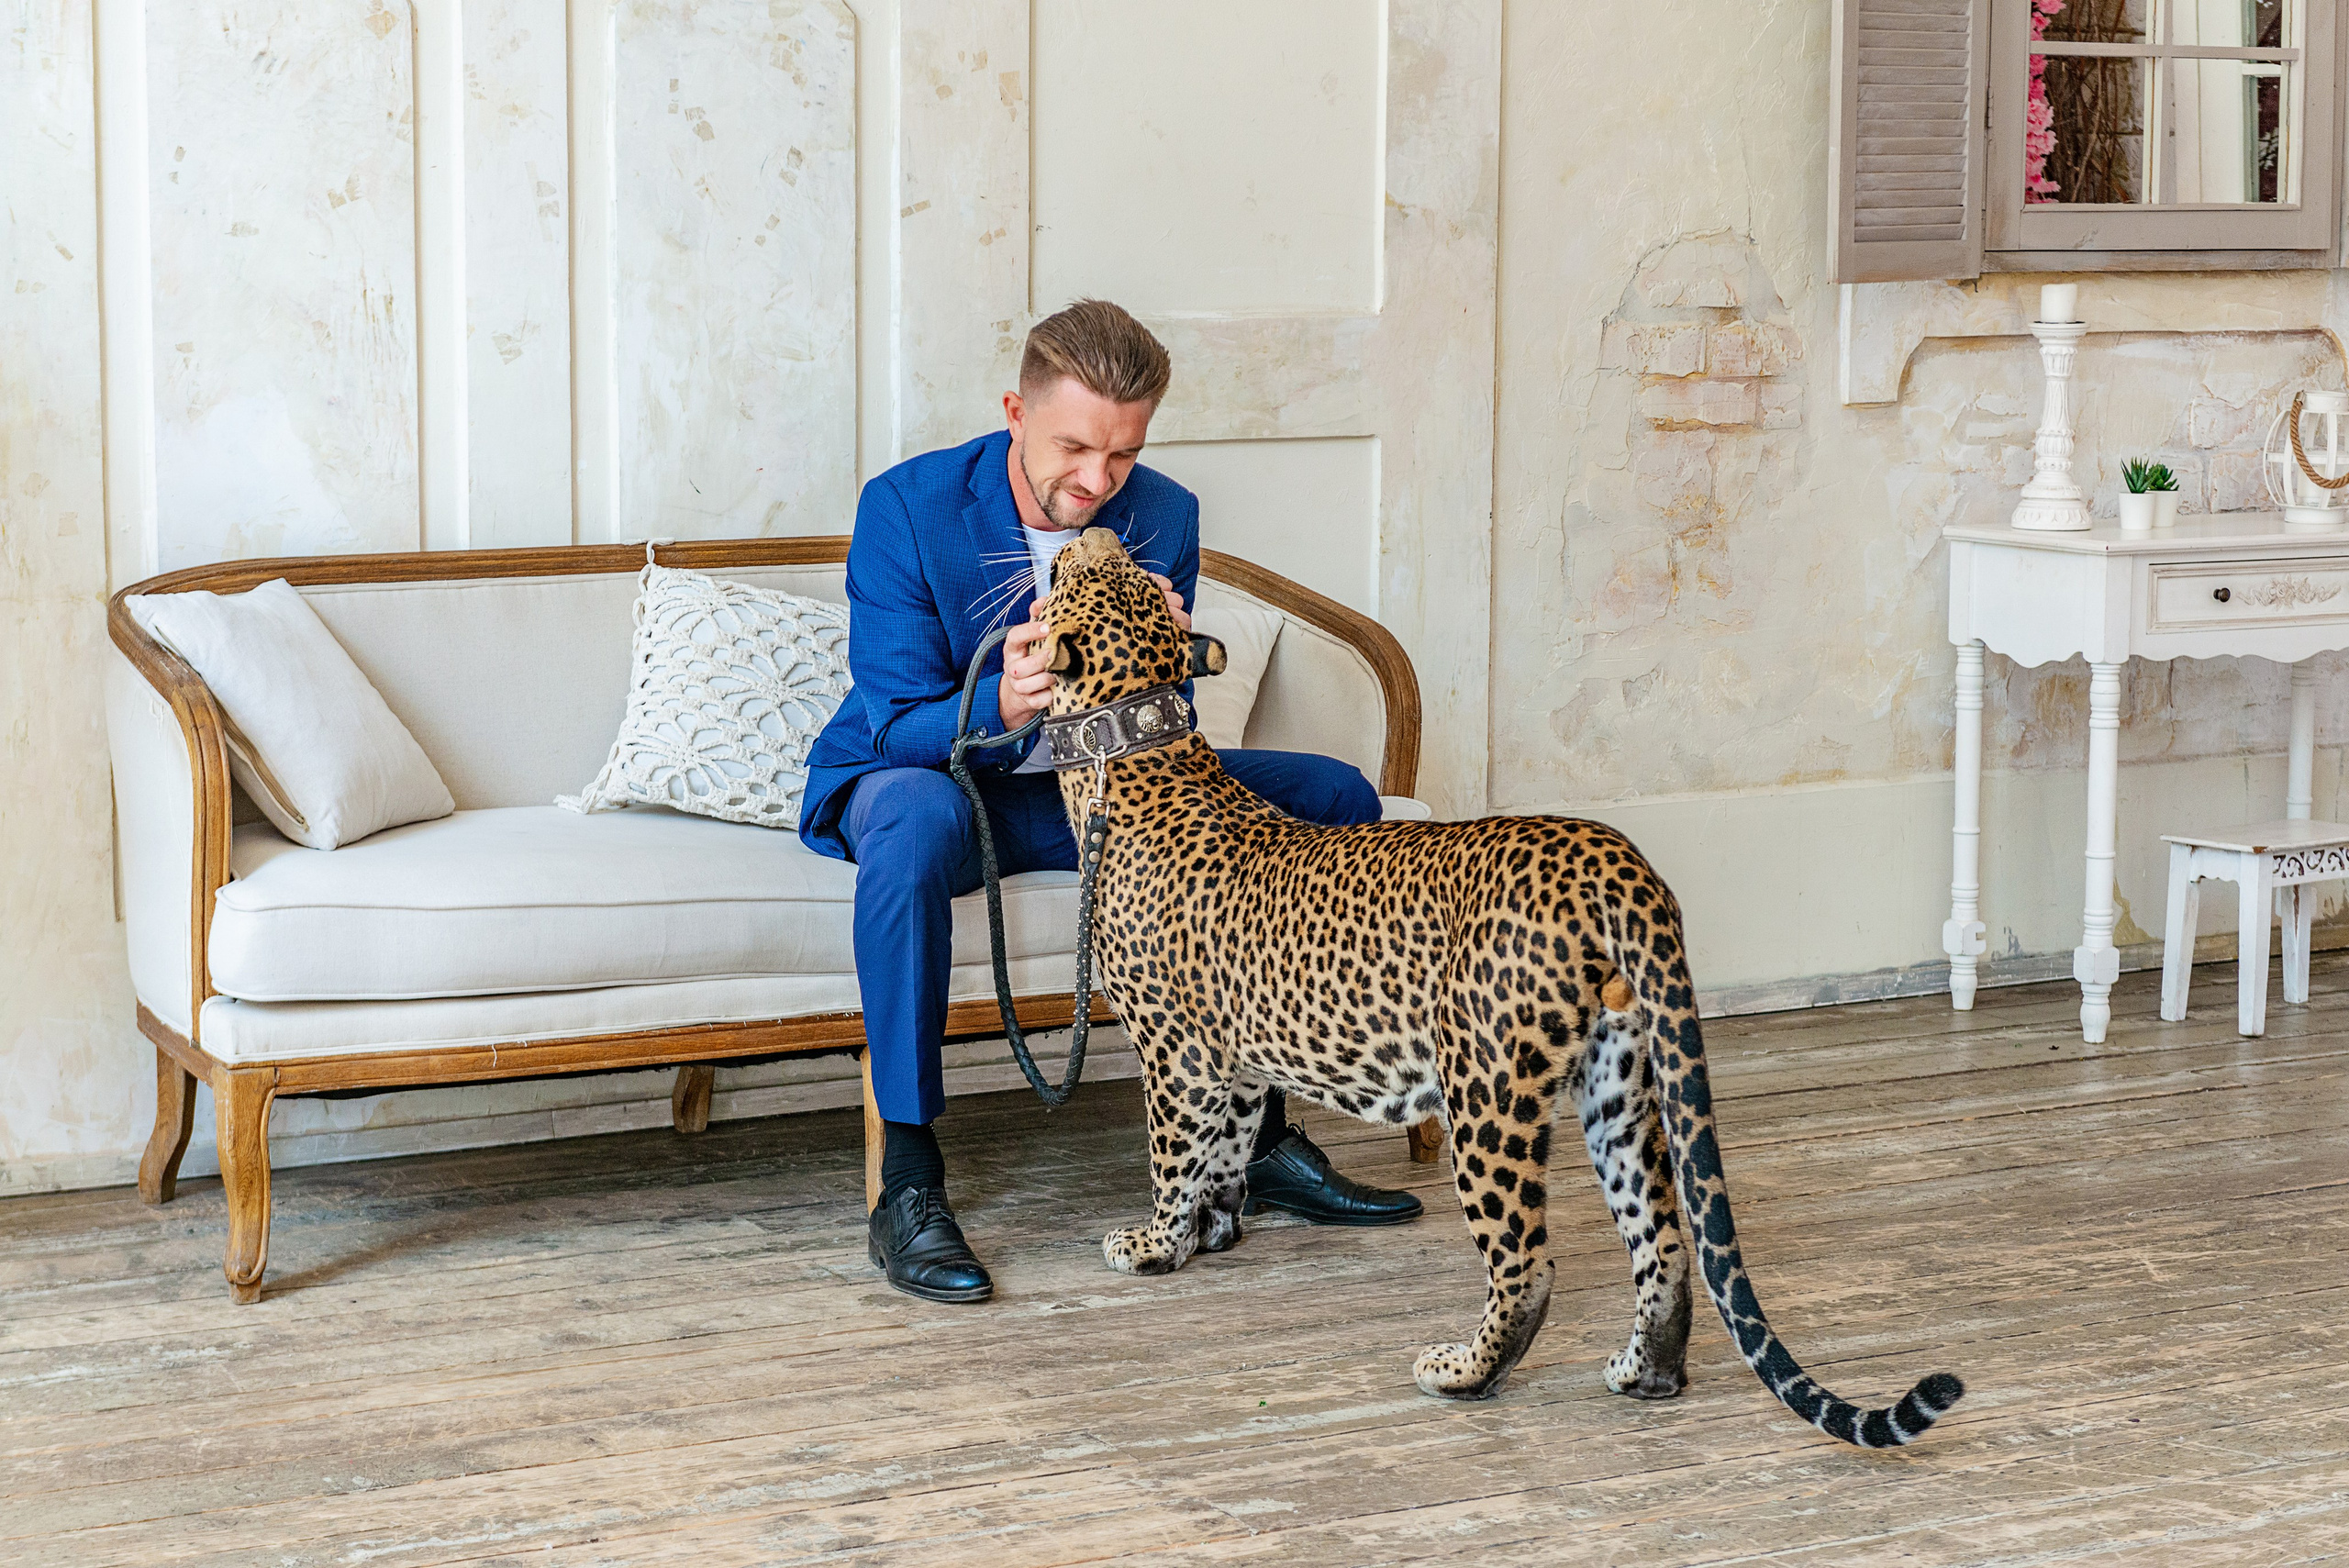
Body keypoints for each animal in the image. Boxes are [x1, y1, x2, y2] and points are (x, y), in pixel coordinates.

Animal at [1029, 525, 1966, 1448]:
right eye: (1115, 567)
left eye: (1088, 571)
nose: (1089, 530)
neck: (1135, 755)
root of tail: (1611, 860)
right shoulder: (1237, 1059)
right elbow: (1225, 1147)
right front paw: (1213, 1231)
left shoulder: (1174, 1050)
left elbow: (1173, 1152)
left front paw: (1154, 1243)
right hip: (1619, 1079)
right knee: (1663, 1239)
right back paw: (1647, 1372)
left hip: (1483, 1084)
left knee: (1526, 1260)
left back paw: (1461, 1370)